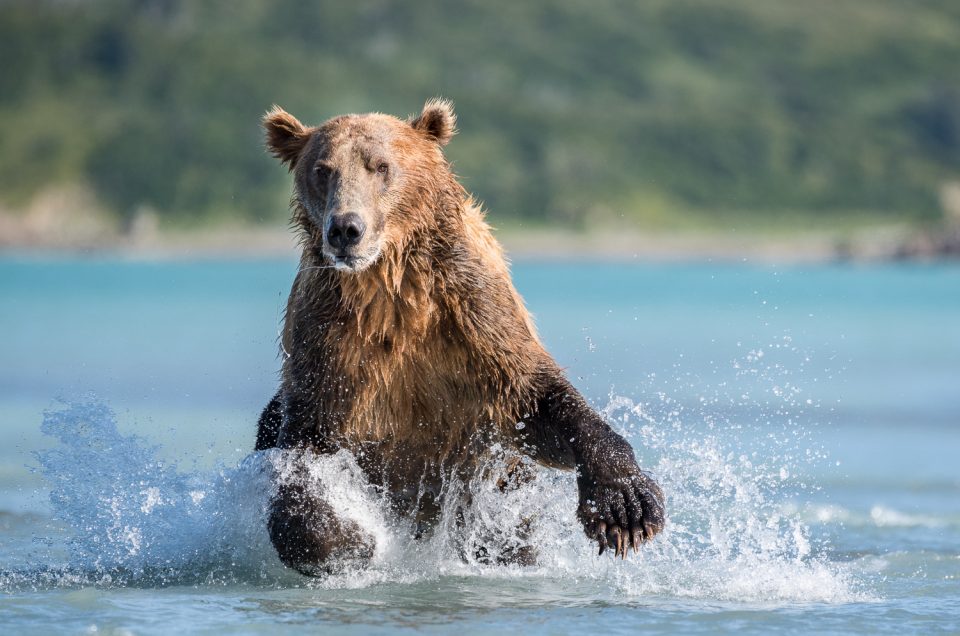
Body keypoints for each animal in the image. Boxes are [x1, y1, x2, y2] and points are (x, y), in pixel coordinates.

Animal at [255, 97, 664, 572]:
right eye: (322, 170)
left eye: (381, 166)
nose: (345, 229)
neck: (390, 291)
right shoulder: (329, 342)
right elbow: (305, 450)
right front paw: (349, 540)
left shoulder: (472, 322)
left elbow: (538, 401)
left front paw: (626, 506)